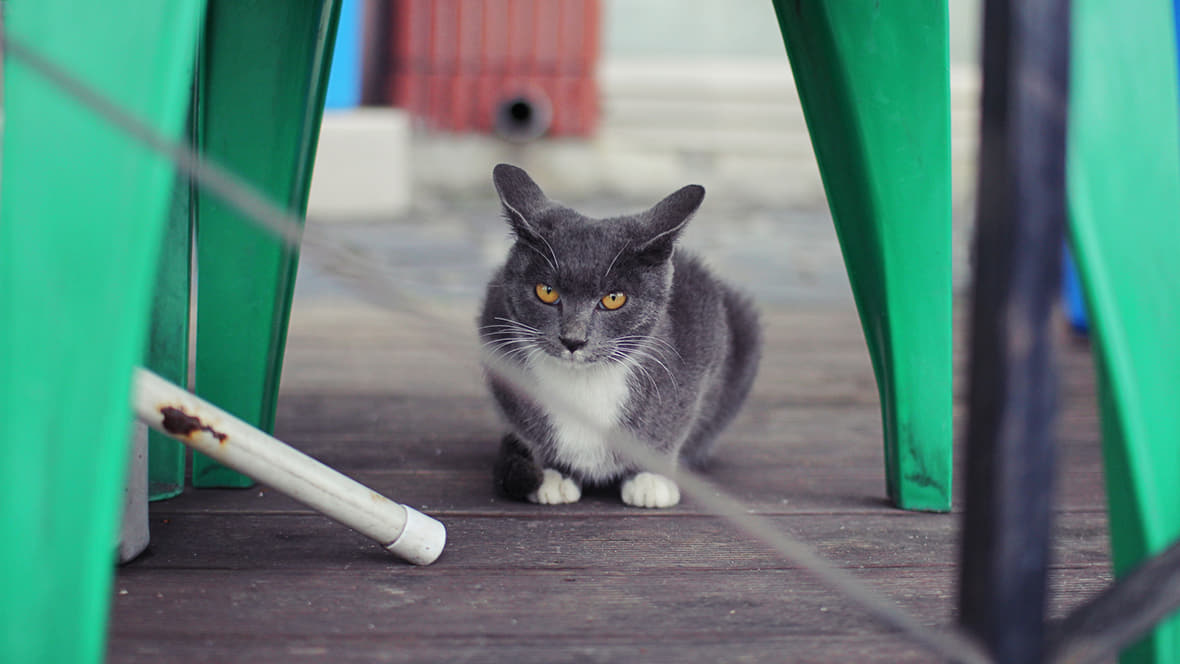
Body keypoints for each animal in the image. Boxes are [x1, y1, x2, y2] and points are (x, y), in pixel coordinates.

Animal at [481, 165, 764, 509]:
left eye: (614, 299)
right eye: (546, 292)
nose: (573, 339)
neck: (585, 381)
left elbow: (672, 427)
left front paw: (650, 479)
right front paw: (555, 474)